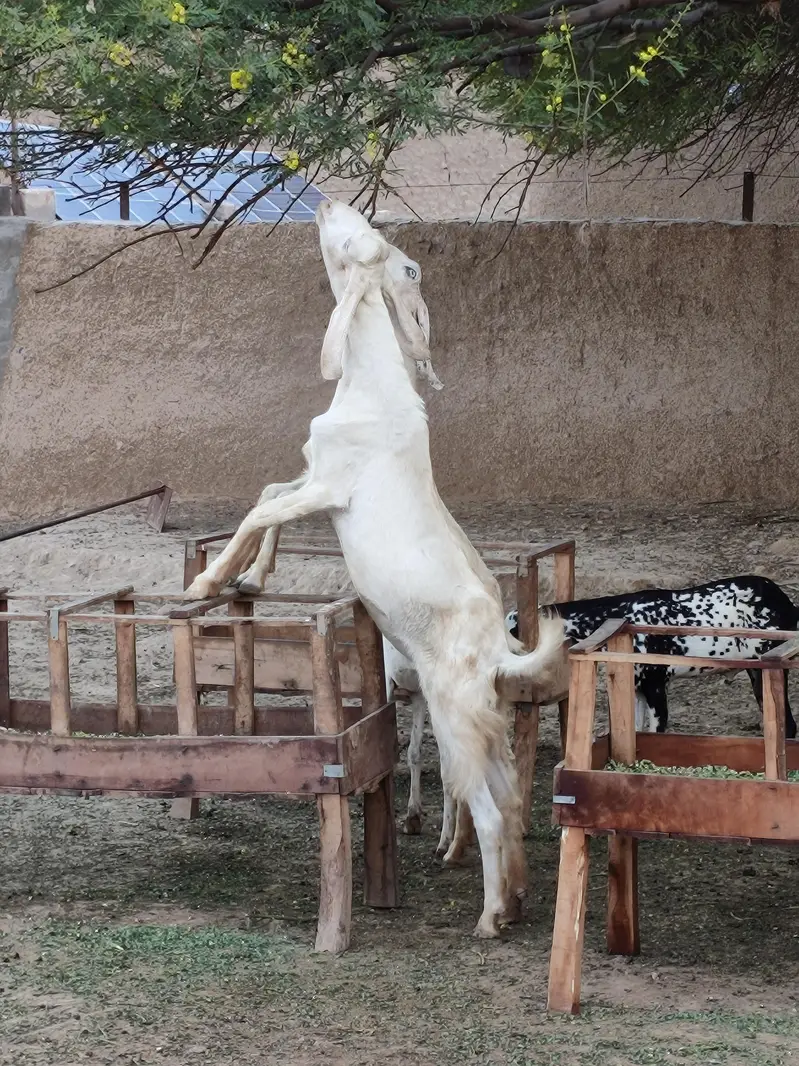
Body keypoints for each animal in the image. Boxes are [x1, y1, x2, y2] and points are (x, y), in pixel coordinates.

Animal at [185, 199, 565, 938]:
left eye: (372, 243)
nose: (330, 202)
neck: (372, 389)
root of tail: (497, 650)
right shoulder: (315, 477)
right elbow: (269, 497)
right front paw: (247, 577)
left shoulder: (332, 486)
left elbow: (260, 509)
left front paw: (205, 582)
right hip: (479, 717)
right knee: (506, 798)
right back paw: (514, 900)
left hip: (450, 709)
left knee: (484, 806)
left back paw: (488, 917)